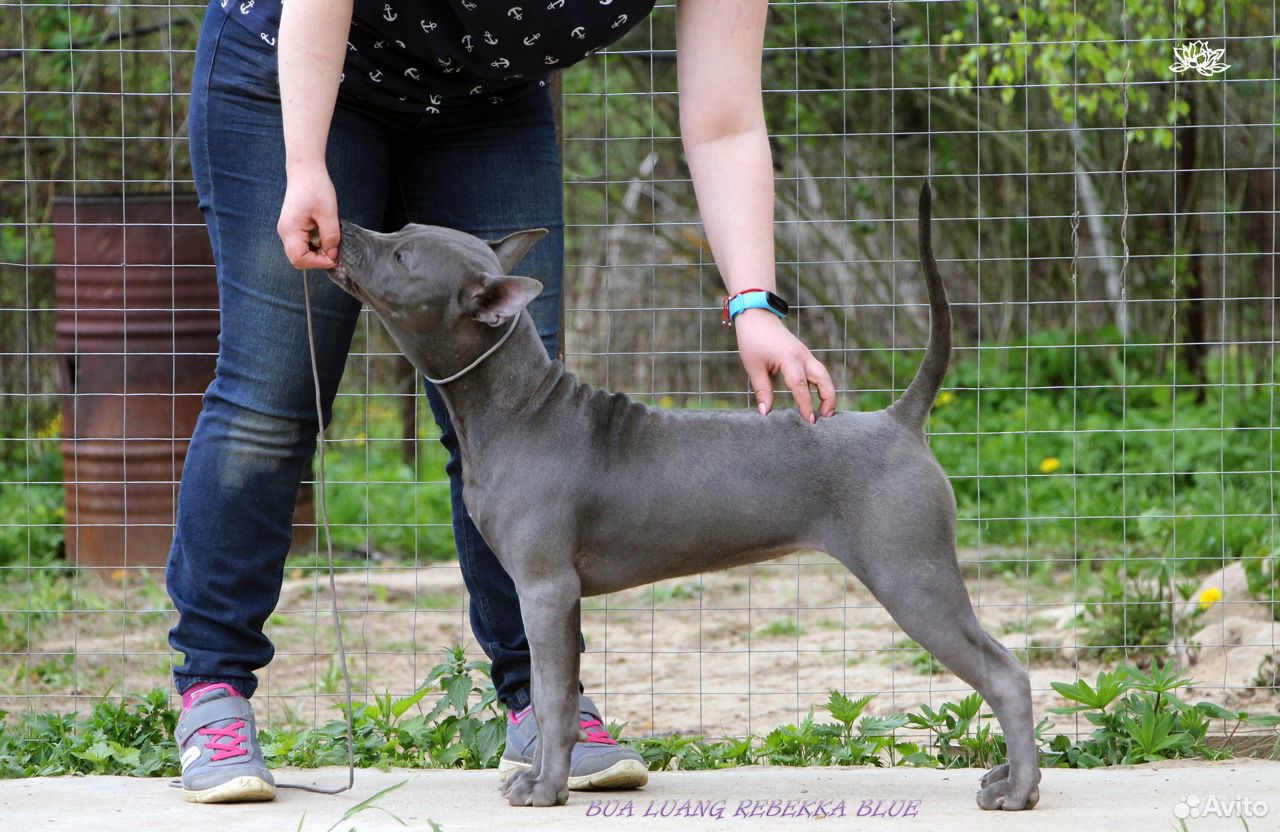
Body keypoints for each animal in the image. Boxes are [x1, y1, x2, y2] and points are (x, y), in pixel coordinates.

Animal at [327, 183, 1039, 808]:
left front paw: (546, 789)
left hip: (911, 574)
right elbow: (561, 694)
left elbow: (552, 695)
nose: (346, 227)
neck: (516, 405)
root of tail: (901, 417)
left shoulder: (545, 588)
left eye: (402, 256)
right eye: (401, 231)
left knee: (1006, 673)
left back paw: (1018, 791)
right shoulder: (560, 596)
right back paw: (1007, 777)